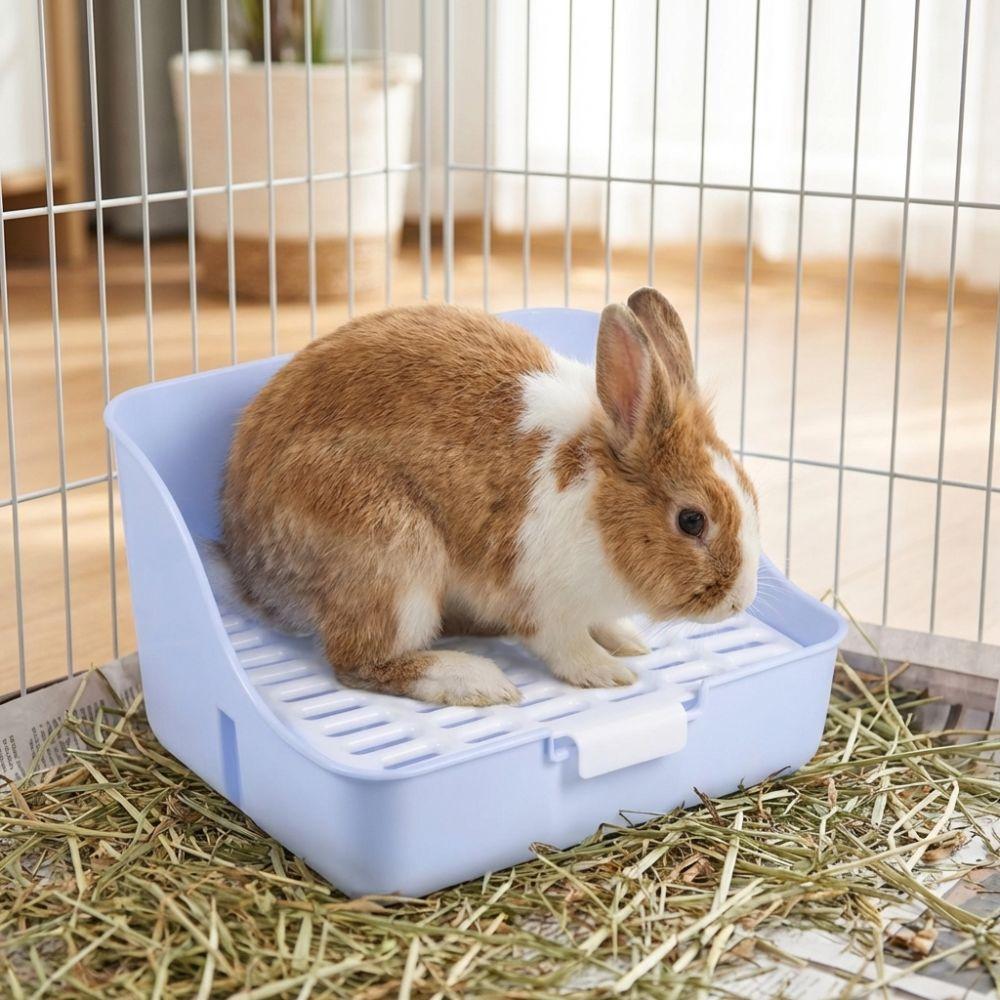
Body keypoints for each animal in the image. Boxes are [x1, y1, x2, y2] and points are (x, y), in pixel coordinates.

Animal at [220, 287, 760, 707]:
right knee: (359, 661)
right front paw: (607, 671)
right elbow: (564, 645)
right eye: (692, 520)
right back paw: (475, 682)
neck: (599, 504)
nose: (738, 602)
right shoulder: (540, 599)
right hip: (393, 558)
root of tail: (245, 559)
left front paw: (627, 641)